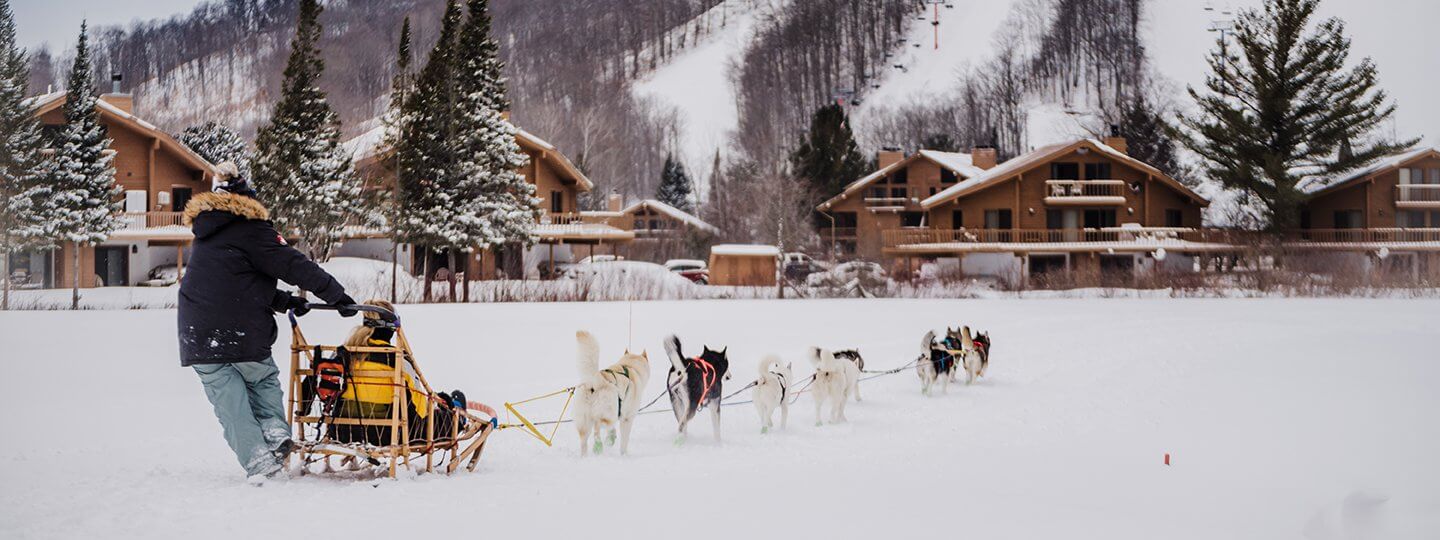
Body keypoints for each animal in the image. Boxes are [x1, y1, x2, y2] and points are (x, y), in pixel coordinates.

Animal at [570, 329, 650, 457]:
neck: (630, 366)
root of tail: (595, 380)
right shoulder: (627, 418)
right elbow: (624, 441)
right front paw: (624, 454)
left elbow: (612, 430)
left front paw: (610, 439)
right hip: (608, 413)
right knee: (598, 425)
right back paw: (598, 445)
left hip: (585, 422)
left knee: (584, 441)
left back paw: (586, 456)